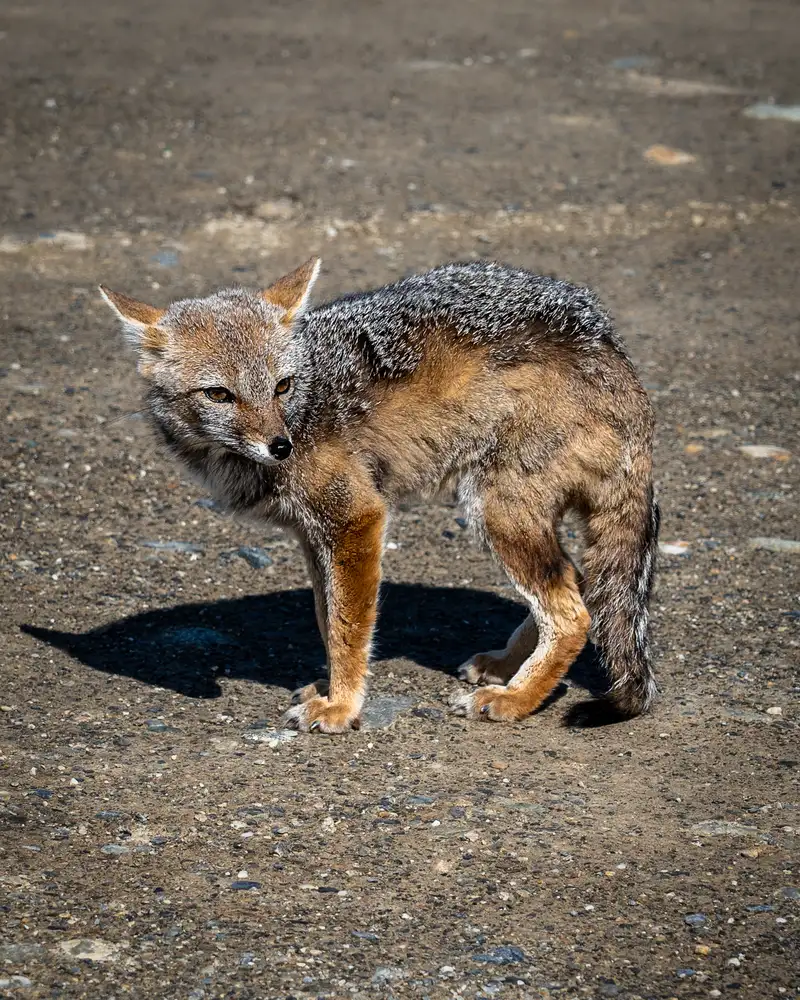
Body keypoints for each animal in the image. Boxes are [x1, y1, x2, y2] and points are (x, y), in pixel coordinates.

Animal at [100, 258, 660, 736]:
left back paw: (516, 699)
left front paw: (343, 706)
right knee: (575, 582)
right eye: (219, 394)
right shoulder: (312, 535)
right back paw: (505, 666)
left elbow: (349, 626)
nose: (281, 446)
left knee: (573, 613)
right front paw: (331, 688)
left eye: (282, 386)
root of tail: (611, 346)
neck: (308, 402)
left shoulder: (355, 518)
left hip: (493, 510)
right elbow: (328, 619)